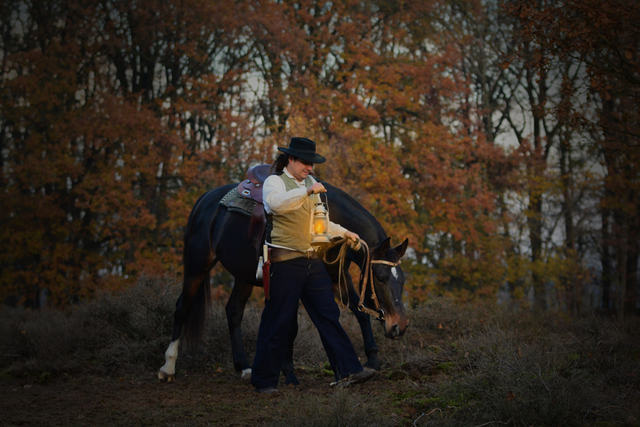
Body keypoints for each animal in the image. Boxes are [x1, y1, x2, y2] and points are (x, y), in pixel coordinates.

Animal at [158, 172, 408, 386]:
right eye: (380, 277)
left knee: (234, 311)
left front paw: (371, 362)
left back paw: (244, 367)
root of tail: (204, 200)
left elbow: (359, 312)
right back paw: (168, 368)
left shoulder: (336, 278)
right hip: (197, 266)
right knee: (182, 307)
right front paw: (288, 373)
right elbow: (291, 326)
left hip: (243, 276)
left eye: (402, 279)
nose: (399, 327)